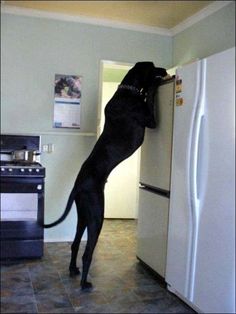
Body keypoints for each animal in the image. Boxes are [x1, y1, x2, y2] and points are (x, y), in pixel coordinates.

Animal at [43, 62, 169, 290]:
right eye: (154, 66)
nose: (165, 71)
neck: (128, 90)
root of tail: (77, 185)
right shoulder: (150, 119)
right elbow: (150, 96)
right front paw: (153, 85)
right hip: (96, 215)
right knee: (87, 253)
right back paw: (84, 283)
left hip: (83, 215)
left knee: (75, 244)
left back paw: (73, 270)